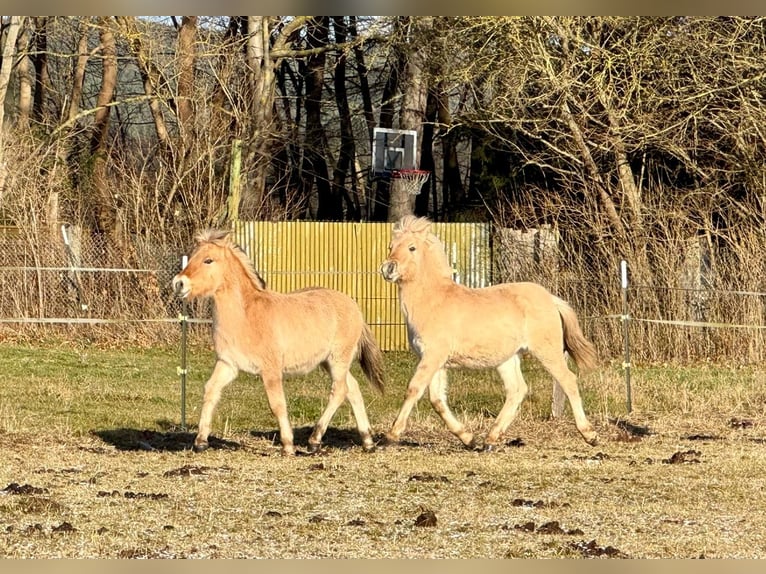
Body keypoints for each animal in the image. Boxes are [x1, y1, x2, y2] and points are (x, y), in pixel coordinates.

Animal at [172, 229, 385, 455]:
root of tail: (355, 307)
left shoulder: (271, 370)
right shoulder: (228, 364)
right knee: (353, 389)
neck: (246, 316)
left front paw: (288, 445)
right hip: (328, 362)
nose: (179, 283)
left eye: (208, 260)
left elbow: (277, 404)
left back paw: (314, 440)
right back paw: (367, 441)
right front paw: (201, 441)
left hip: (338, 359)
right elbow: (210, 390)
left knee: (339, 391)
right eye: (192, 256)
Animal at [379, 216, 598, 450]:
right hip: (508, 358)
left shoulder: (432, 357)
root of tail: (551, 299)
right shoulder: (435, 360)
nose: (388, 269)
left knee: (568, 380)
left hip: (547, 351)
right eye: (391, 246)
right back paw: (490, 439)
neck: (434, 300)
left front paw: (389, 436)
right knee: (517, 390)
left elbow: (414, 389)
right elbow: (437, 400)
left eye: (412, 247)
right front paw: (468, 438)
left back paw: (590, 435)